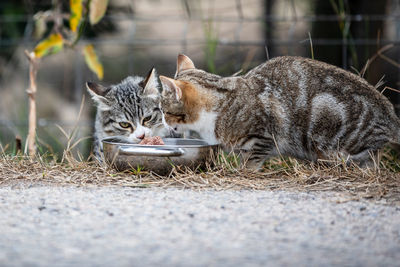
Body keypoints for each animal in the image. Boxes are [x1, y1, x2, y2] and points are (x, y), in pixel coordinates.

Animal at [159, 54, 400, 170]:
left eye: (163, 110)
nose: (162, 121)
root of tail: (391, 116)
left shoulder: (263, 135)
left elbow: (251, 160)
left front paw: (243, 171)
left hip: (328, 121)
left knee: (369, 156)